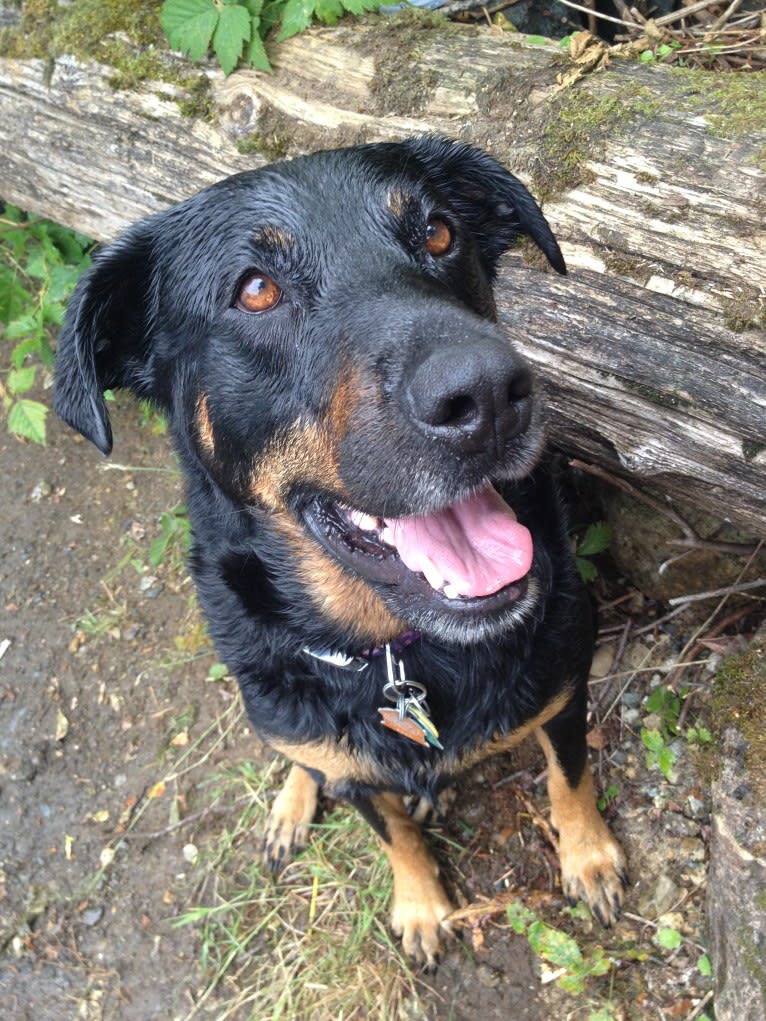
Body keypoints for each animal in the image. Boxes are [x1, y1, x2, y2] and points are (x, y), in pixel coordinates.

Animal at [56, 133, 625, 963]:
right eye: (256, 290)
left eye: (440, 234)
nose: (488, 392)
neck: (394, 655)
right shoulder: (346, 759)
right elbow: (391, 833)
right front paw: (421, 903)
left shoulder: (561, 684)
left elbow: (570, 777)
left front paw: (590, 855)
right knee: (299, 752)